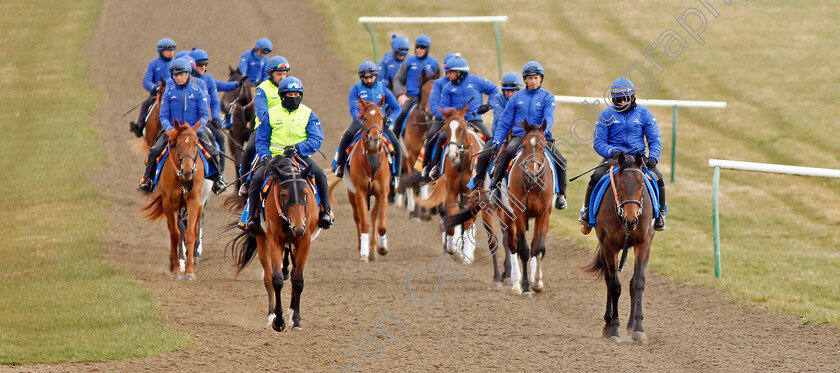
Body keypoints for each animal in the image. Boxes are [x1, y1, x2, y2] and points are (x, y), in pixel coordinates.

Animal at [140, 119, 210, 280]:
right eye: (178, 144)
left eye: (196, 144)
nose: (187, 171)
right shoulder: (169, 203)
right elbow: (175, 234)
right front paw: (177, 269)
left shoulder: (194, 201)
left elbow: (190, 233)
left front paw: (190, 271)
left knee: (195, 228)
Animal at [230, 155, 318, 330]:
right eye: (284, 195)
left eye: (305, 193)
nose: (298, 227)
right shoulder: (275, 240)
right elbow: (276, 279)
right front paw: (278, 320)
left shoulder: (304, 240)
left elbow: (298, 280)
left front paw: (296, 320)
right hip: (262, 239)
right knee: (268, 276)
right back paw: (271, 316)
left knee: (292, 273)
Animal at [330, 99, 392, 262]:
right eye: (365, 118)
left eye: (382, 118)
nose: (375, 138)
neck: (372, 159)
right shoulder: (360, 192)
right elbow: (364, 223)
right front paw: (364, 254)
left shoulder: (383, 193)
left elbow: (381, 225)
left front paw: (382, 248)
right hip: (352, 195)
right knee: (357, 218)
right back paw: (362, 248)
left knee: (375, 217)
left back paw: (374, 250)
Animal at [442, 120, 556, 294]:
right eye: (524, 145)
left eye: (543, 146)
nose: (532, 172)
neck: (532, 186)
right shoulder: (517, 214)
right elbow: (522, 249)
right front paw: (524, 287)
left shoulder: (544, 214)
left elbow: (538, 248)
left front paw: (537, 282)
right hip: (495, 211)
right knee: (502, 243)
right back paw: (506, 279)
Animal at [584, 150, 656, 340]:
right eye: (619, 185)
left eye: (640, 185)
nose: (631, 220)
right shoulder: (609, 245)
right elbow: (615, 286)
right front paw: (614, 328)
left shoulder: (643, 243)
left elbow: (638, 282)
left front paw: (638, 328)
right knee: (609, 280)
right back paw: (608, 323)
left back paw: (630, 325)